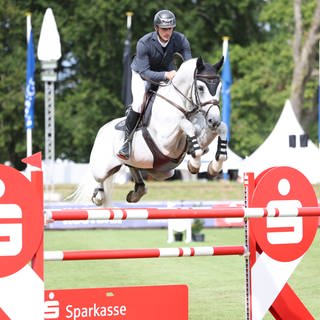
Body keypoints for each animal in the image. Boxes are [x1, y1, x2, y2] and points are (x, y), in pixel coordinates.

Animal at [73, 57, 228, 208]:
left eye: (220, 87)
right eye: (201, 88)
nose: (213, 120)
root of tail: (102, 130)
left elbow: (222, 128)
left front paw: (214, 167)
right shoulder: (166, 141)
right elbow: (186, 125)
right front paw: (194, 165)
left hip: (161, 172)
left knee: (133, 168)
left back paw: (136, 193)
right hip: (102, 167)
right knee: (99, 179)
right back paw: (99, 196)